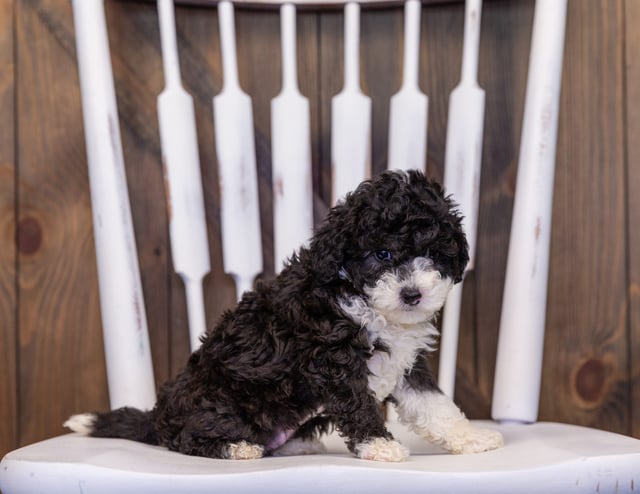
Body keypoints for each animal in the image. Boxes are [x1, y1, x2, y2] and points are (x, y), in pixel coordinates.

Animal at [65, 171, 504, 464]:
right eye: (382, 254)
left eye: (433, 253)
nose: (412, 294)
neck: (361, 299)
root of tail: (158, 415)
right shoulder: (333, 359)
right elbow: (358, 405)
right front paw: (379, 445)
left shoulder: (406, 362)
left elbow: (435, 404)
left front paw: (471, 438)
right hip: (215, 398)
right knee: (185, 439)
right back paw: (236, 447)